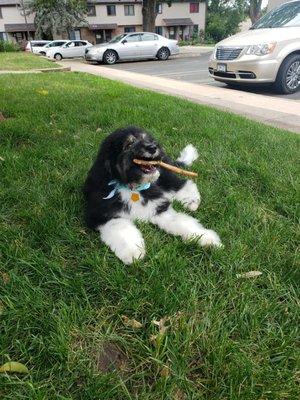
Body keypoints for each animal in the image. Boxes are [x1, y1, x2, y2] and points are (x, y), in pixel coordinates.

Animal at [83, 126, 221, 264]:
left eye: (147, 139)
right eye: (129, 144)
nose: (153, 147)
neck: (132, 187)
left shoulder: (159, 207)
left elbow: (183, 223)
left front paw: (206, 238)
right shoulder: (102, 215)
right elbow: (121, 228)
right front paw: (133, 251)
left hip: (163, 175)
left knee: (182, 183)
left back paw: (191, 201)